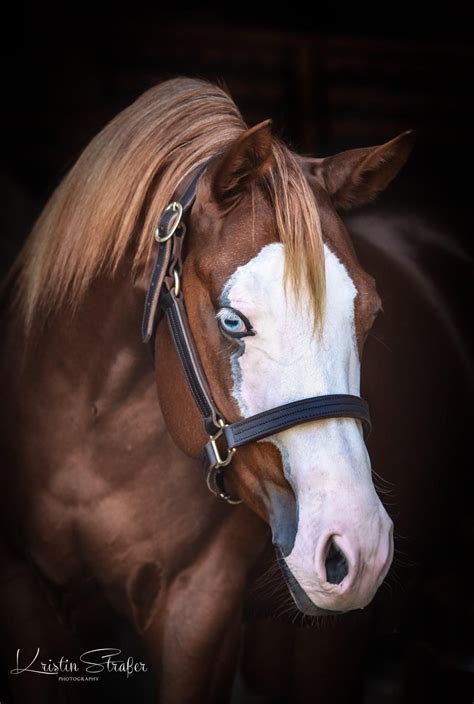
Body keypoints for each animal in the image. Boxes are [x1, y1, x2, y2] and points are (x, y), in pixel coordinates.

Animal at [0, 77, 417, 703]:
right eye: (232, 321)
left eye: (368, 314)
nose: (358, 546)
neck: (91, 430)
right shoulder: (26, 590)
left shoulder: (198, 615)